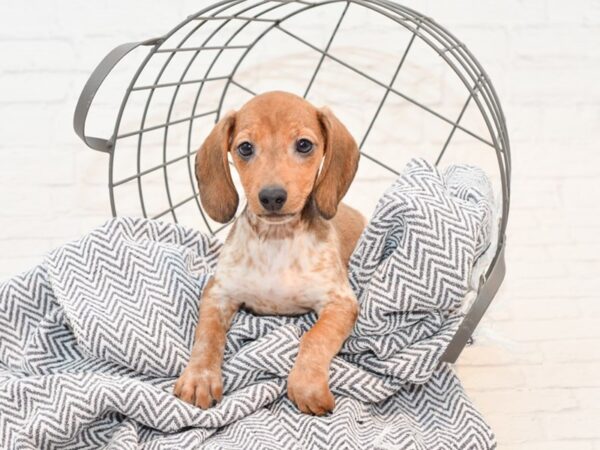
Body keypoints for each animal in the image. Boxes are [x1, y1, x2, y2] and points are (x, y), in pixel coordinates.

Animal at [173, 90, 366, 414]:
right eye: (245, 148)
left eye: (304, 144)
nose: (272, 196)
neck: (277, 242)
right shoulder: (218, 293)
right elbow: (207, 337)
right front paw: (200, 376)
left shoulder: (340, 302)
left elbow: (315, 338)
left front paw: (307, 385)